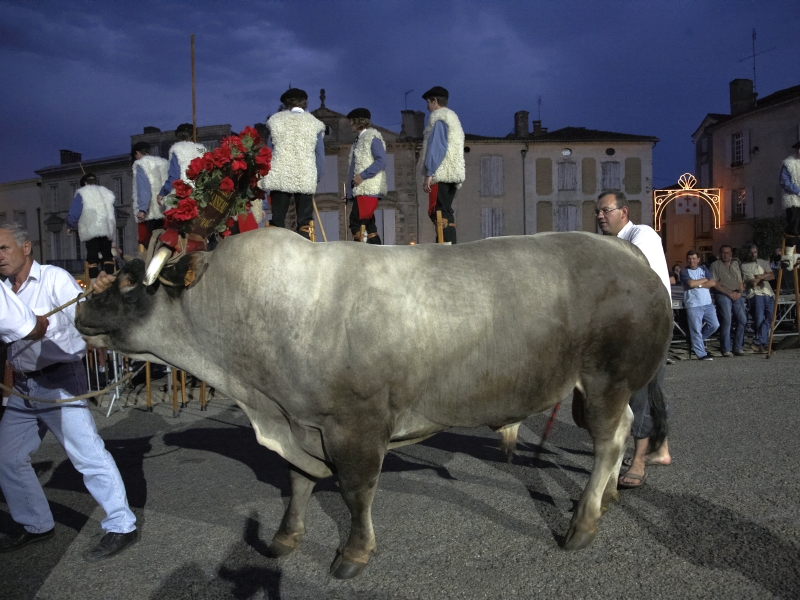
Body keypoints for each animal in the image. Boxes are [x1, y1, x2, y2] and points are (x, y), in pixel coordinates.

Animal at [76, 227, 676, 580]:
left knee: (609, 440)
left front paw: (353, 553)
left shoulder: (356, 423)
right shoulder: (301, 421)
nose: (81, 309)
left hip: (604, 381)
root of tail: (624, 248)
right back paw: (607, 499)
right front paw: (285, 537)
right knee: (623, 429)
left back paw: (584, 524)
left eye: (128, 283)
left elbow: (355, 491)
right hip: (596, 388)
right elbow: (297, 482)